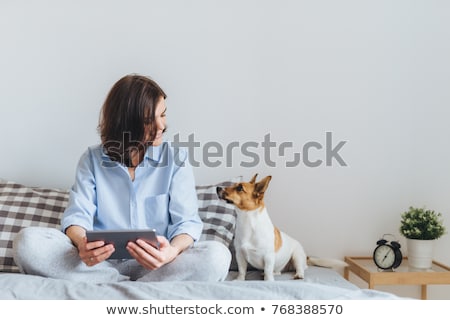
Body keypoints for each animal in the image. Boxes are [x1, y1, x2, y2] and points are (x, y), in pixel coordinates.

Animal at [216, 174, 346, 282]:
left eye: (239, 188)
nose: (217, 188)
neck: (248, 221)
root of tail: (306, 256)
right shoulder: (240, 255)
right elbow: (242, 270)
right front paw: (239, 280)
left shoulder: (268, 256)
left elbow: (268, 271)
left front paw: (268, 281)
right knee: (277, 271)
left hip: (297, 256)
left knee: (300, 268)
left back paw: (299, 275)